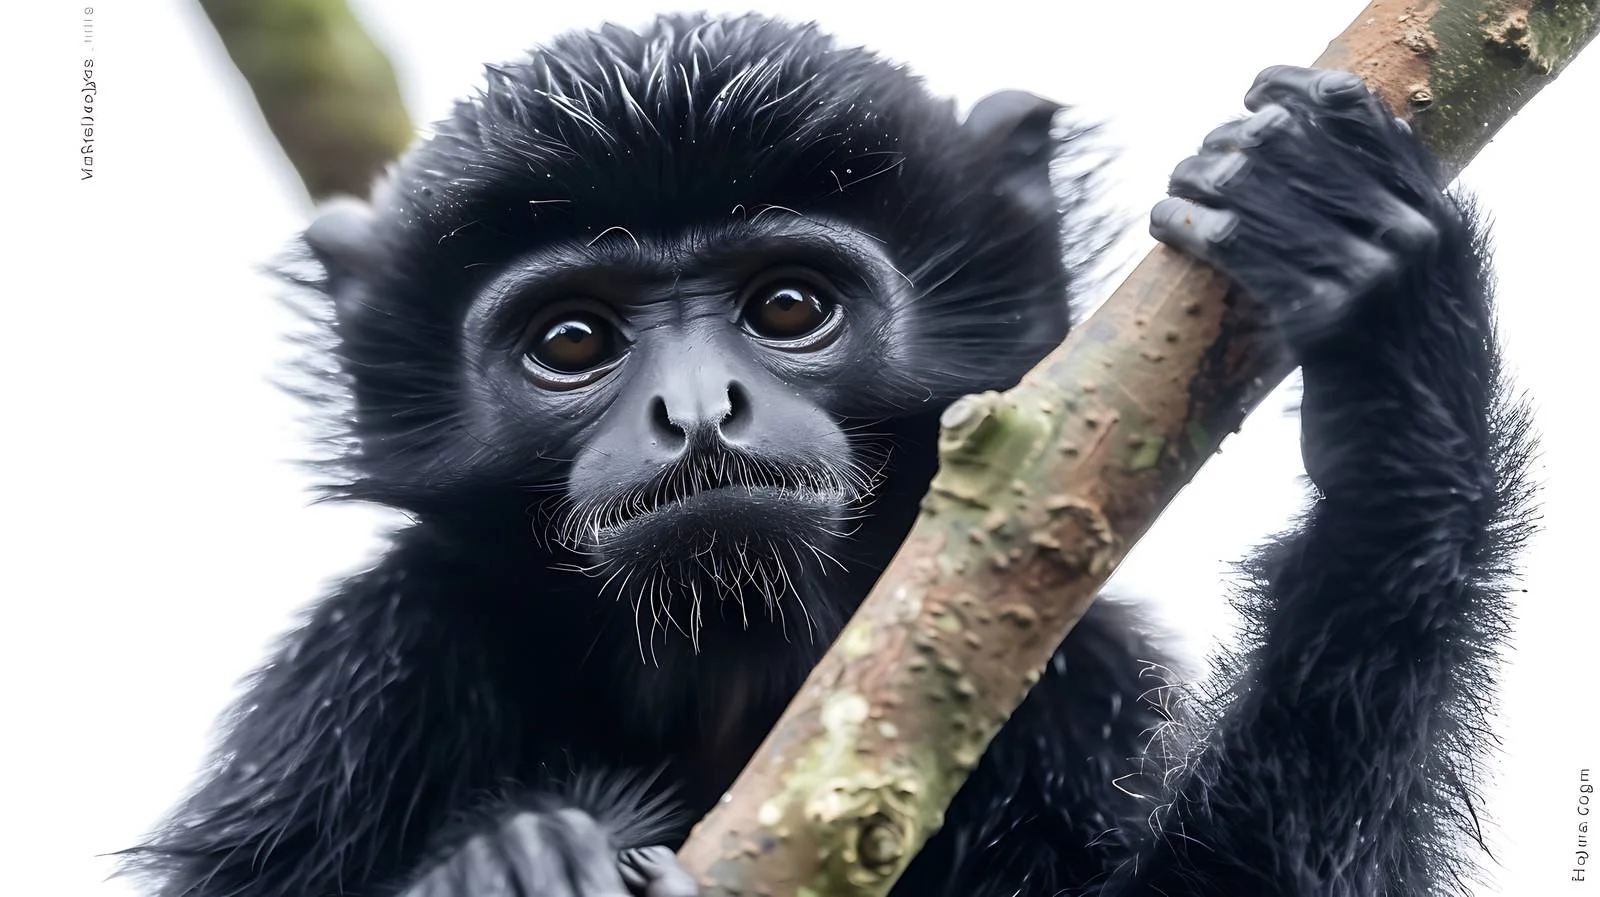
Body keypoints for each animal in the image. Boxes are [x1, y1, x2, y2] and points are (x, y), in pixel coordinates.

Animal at [122, 13, 1534, 897]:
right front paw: (504, 865)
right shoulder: (367, 671)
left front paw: (1379, 329)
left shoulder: (1079, 690)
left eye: (789, 309)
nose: (697, 410)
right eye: (573, 341)